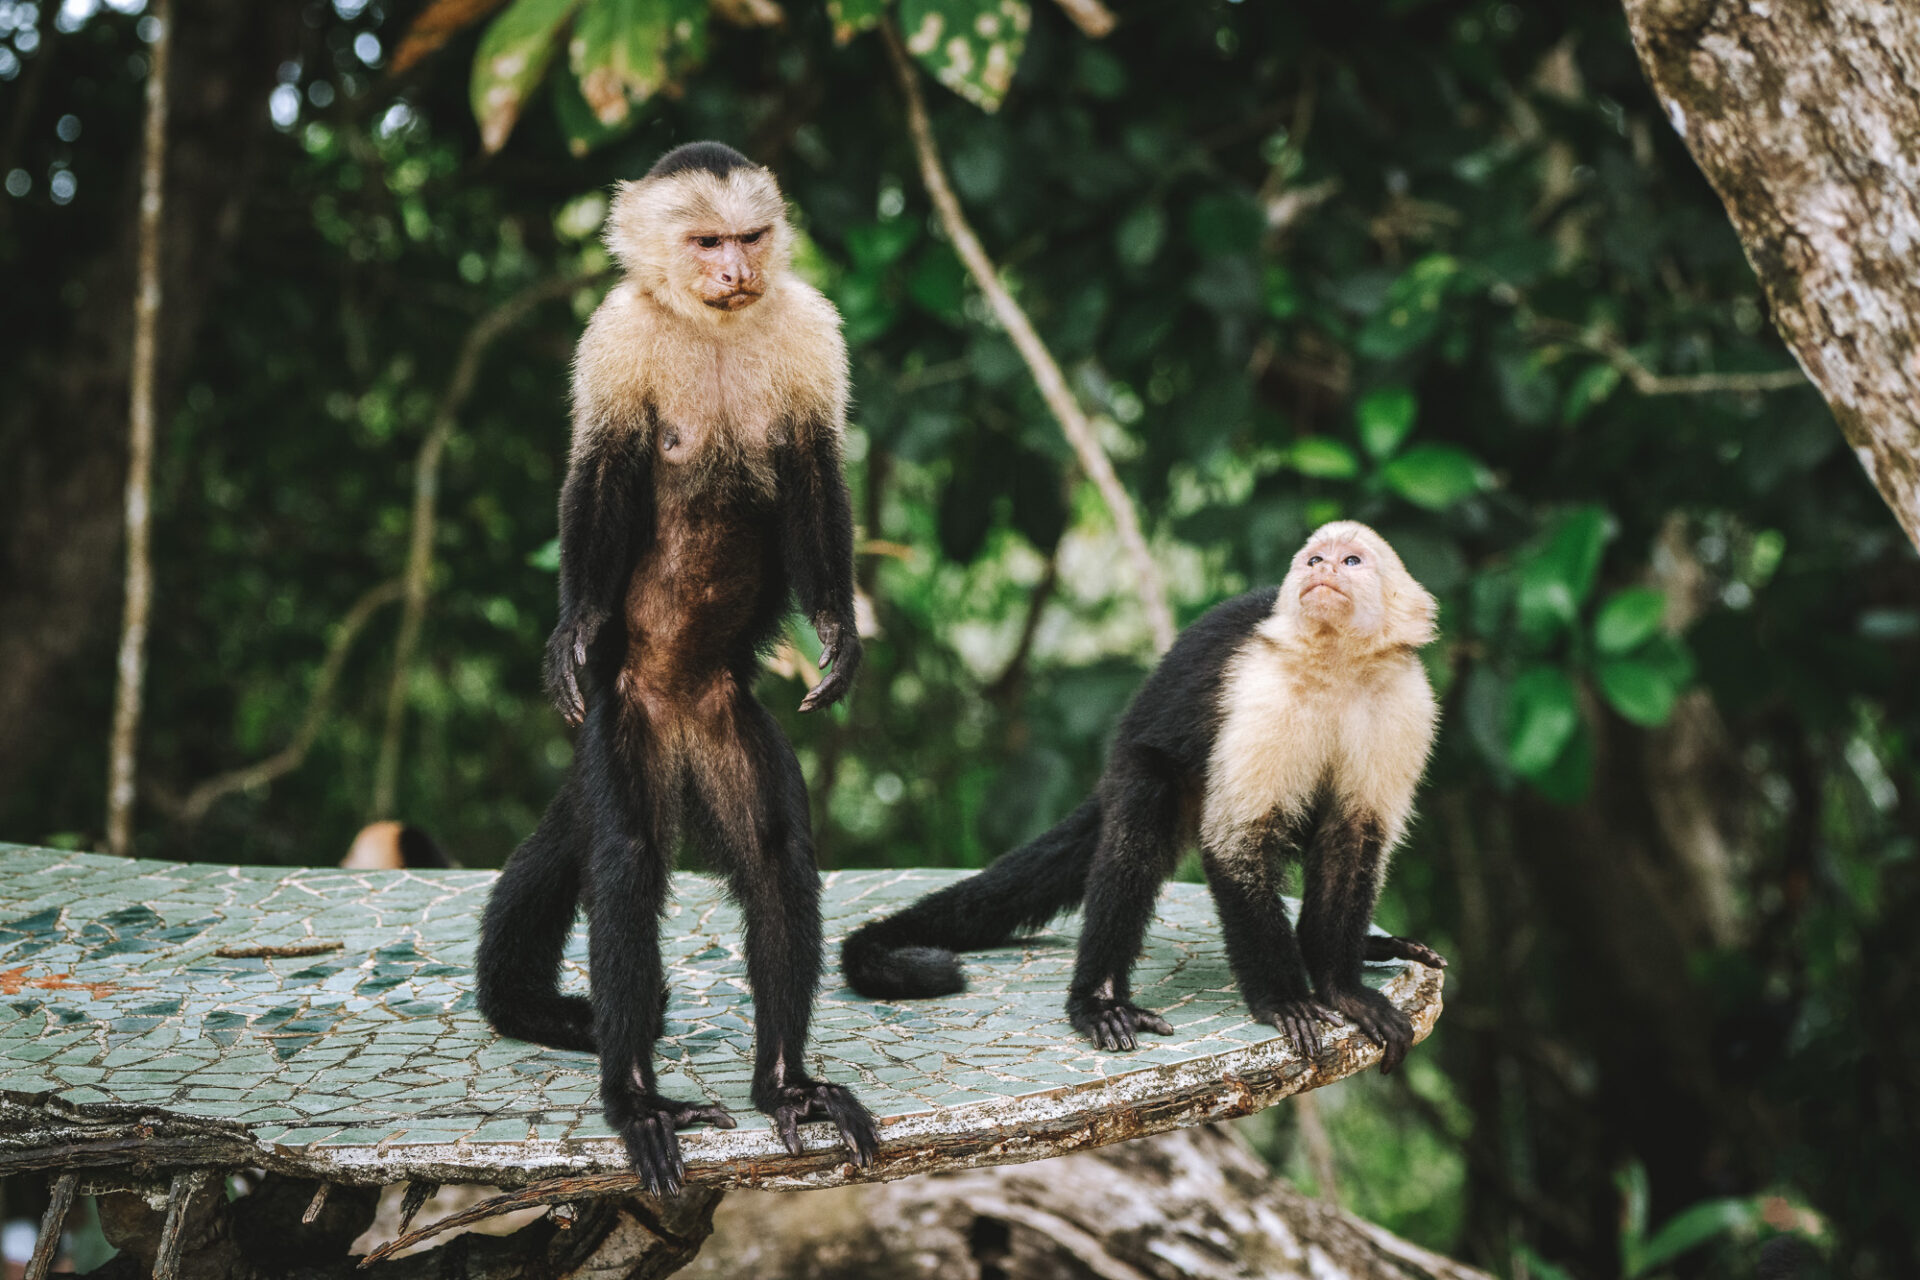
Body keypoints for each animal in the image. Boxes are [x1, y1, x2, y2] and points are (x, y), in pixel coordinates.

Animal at [478, 144, 879, 1197]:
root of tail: (685, 709)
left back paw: (787, 1085)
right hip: (626, 728)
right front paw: (572, 632)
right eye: (706, 244)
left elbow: (813, 470)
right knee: (625, 861)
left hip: (734, 725)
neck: (713, 325)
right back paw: (636, 1100)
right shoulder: (615, 336)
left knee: (777, 860)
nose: (735, 273)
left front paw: (839, 632)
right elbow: (600, 471)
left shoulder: (809, 327)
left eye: (749, 238)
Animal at [840, 521, 1443, 1074]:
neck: (1336, 662)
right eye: (1314, 559)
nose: (1323, 569)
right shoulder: (1265, 692)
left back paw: (1346, 950)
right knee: (1141, 824)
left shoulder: (1406, 703)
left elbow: (1353, 839)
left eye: (1352, 560)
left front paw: (1341, 988)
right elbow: (1235, 842)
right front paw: (1285, 999)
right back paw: (1099, 1000)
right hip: (1142, 762)